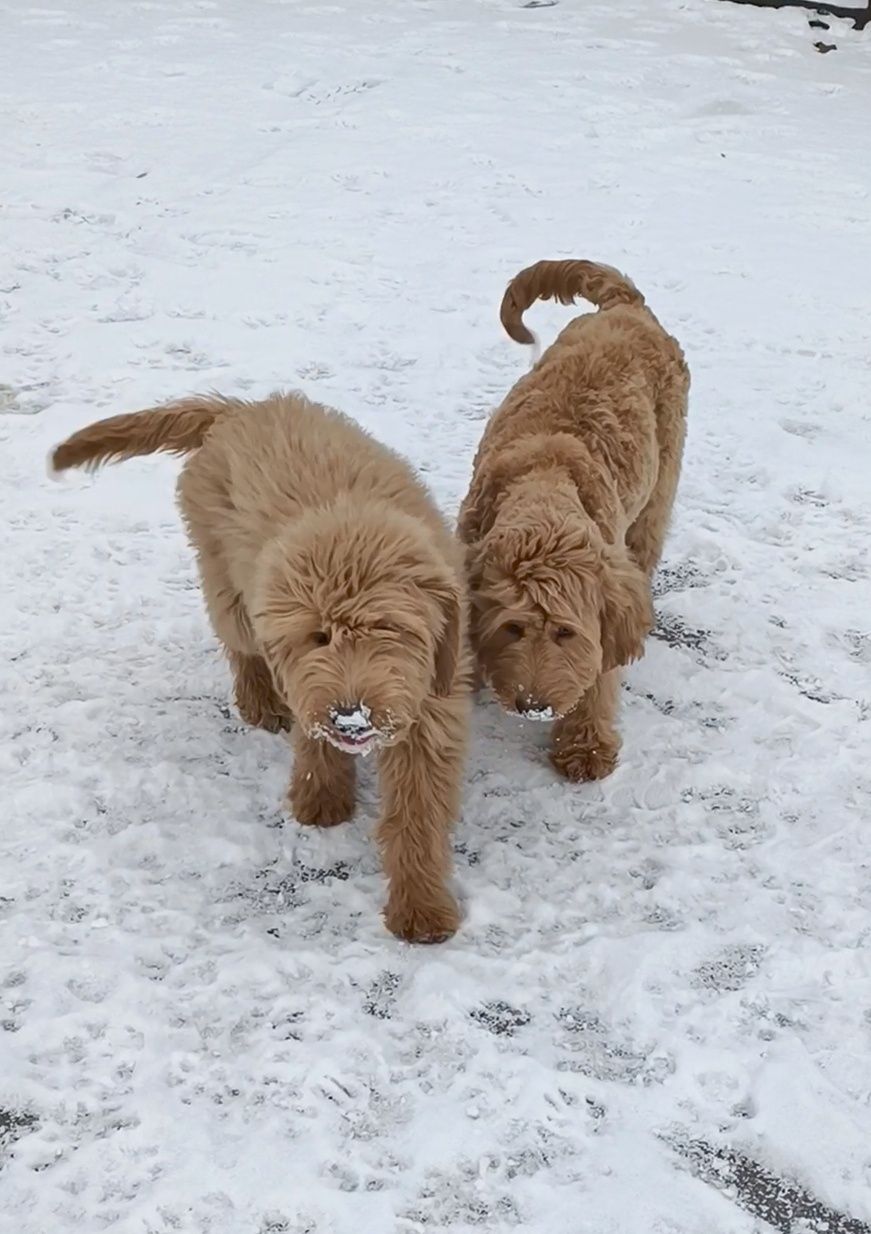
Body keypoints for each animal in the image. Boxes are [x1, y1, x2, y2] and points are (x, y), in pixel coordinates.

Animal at [50, 394, 471, 942]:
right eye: (318, 636)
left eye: (390, 630)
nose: (351, 717)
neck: (349, 520)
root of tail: (240, 409)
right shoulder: (301, 667)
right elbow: (311, 731)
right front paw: (319, 797)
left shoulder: (432, 704)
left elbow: (417, 813)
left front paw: (421, 907)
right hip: (230, 589)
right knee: (240, 645)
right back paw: (257, 701)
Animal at [458, 257, 690, 779]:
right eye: (512, 627)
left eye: (565, 632)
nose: (532, 705)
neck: (544, 474)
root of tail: (626, 306)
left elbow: (599, 675)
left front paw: (584, 746)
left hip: (657, 497)